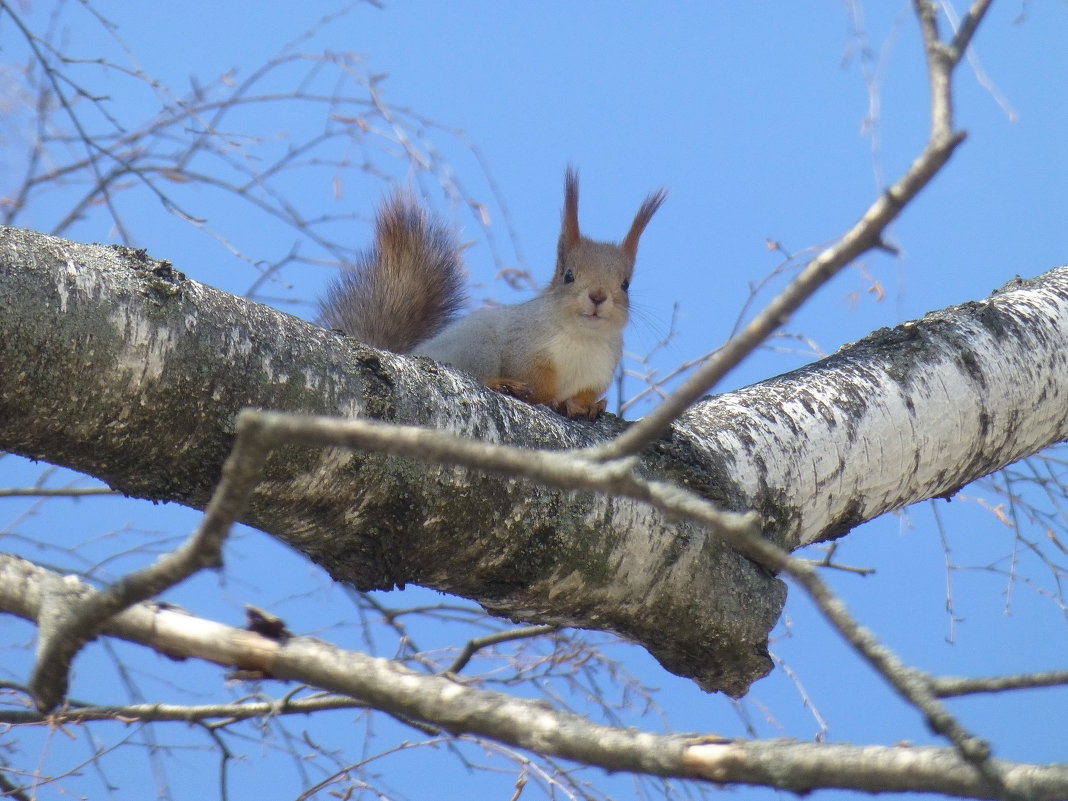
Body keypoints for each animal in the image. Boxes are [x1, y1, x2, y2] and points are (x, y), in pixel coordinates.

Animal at [318, 166, 666, 422]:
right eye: (568, 275)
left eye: (625, 284)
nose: (597, 296)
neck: (583, 338)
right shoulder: (523, 345)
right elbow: (537, 383)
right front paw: (551, 399)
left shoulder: (599, 371)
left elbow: (587, 393)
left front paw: (590, 405)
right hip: (478, 348)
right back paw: (501, 385)